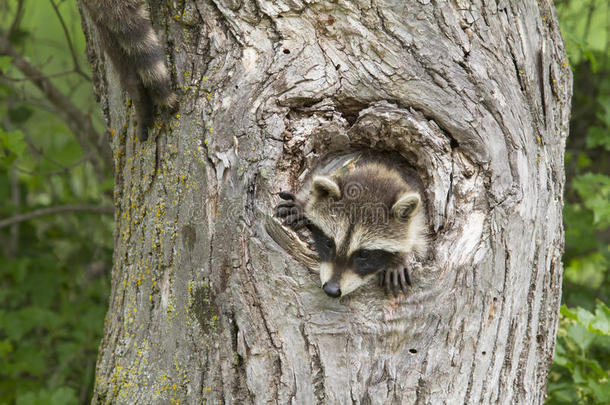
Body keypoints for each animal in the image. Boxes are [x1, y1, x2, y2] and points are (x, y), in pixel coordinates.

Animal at [276, 160, 426, 296]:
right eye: (329, 243)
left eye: (364, 254)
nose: (331, 290)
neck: (379, 172)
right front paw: (303, 207)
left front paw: (399, 259)